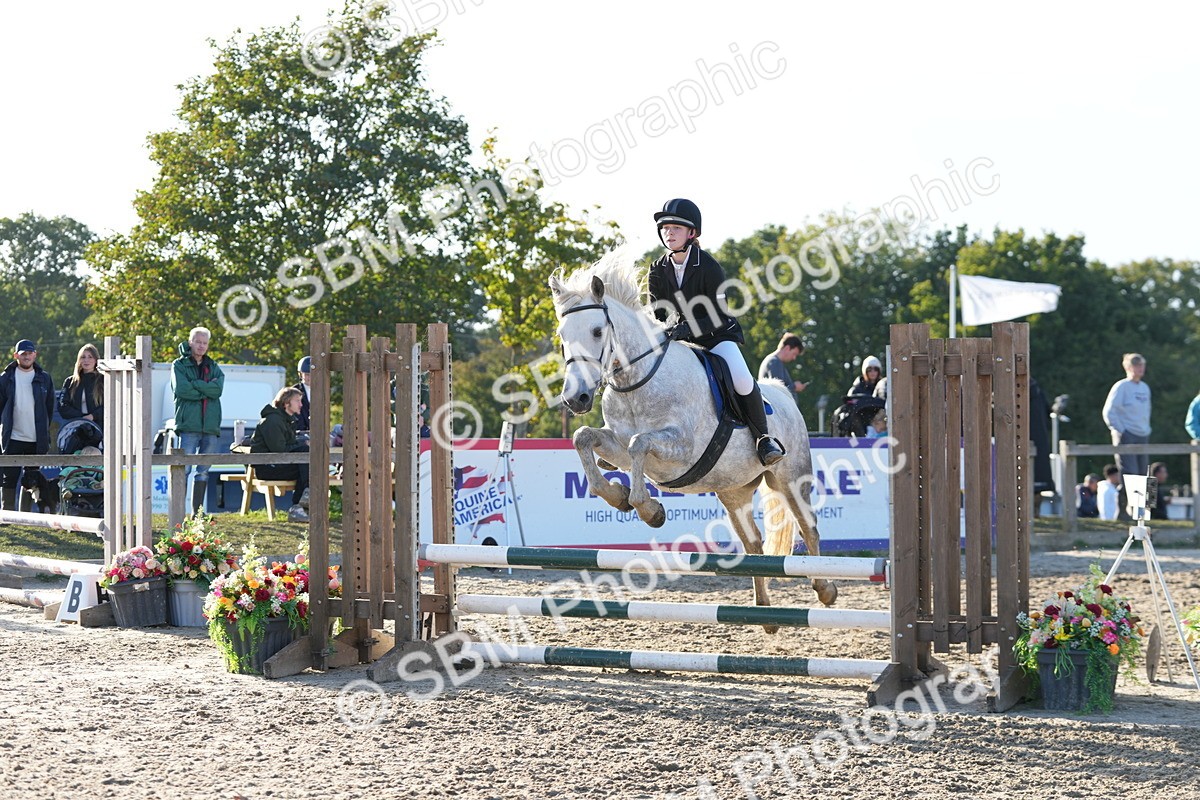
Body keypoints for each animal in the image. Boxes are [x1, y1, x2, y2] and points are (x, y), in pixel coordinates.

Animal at [549, 252, 837, 627]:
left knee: (808, 528)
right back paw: (765, 613)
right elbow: (585, 438)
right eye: (562, 335)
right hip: (733, 490)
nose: (576, 399)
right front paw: (618, 496)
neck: (638, 381)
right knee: (753, 543)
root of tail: (783, 392)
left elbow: (639, 443)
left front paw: (650, 510)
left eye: (598, 331)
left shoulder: (681, 450)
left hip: (791, 478)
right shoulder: (617, 446)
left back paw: (825, 590)